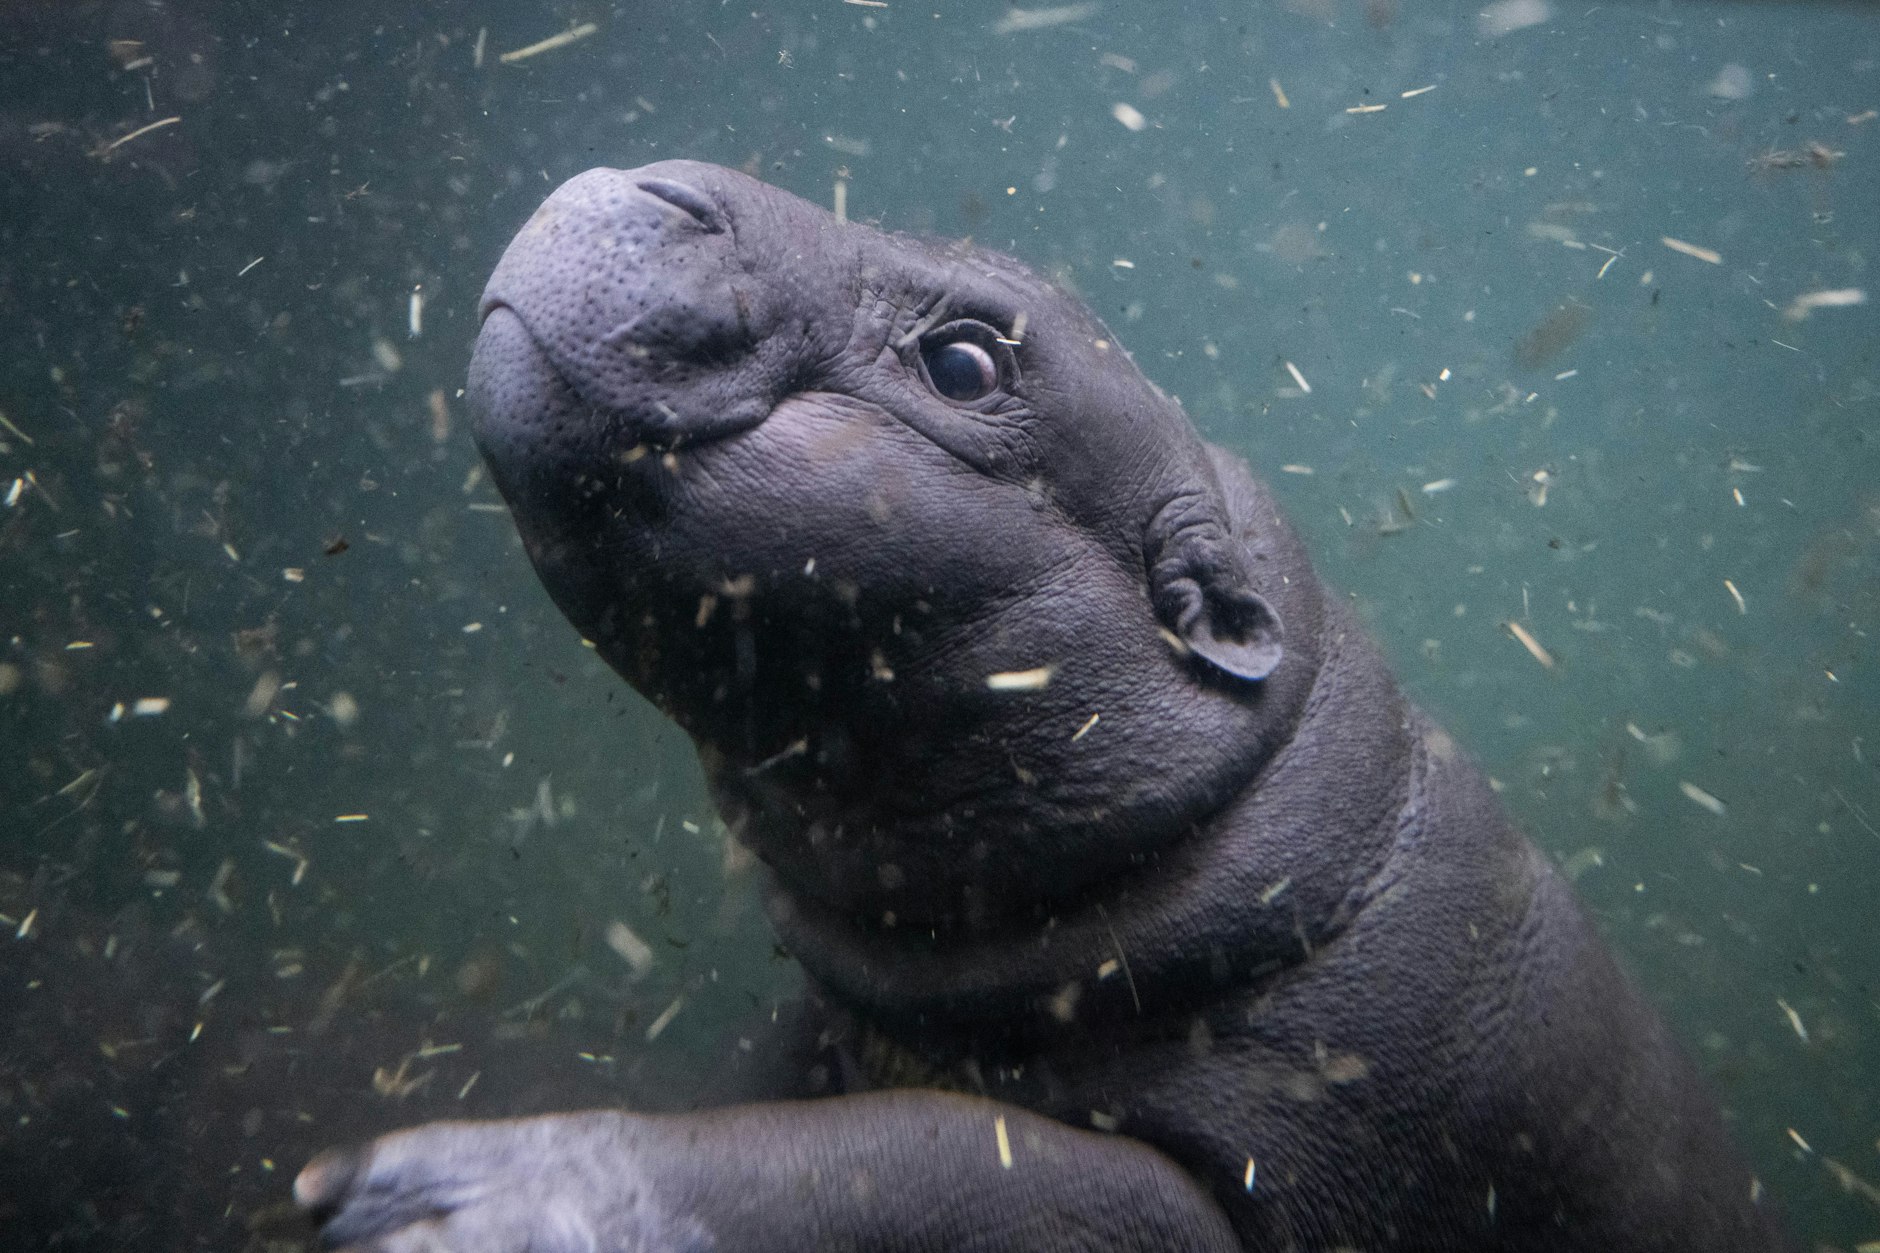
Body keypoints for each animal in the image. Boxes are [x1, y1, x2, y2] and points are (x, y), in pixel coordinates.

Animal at [296, 161, 1790, 1251]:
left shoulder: (1243, 1172)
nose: (653, 179)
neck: (1287, 830)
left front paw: (421, 1197)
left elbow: (920, 1161)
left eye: (966, 364)